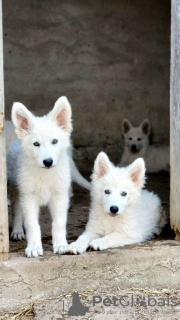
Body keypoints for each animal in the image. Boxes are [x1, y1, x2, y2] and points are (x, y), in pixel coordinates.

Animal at [7, 95, 91, 258]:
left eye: (55, 141)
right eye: (36, 144)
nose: (48, 162)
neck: (45, 174)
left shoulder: (59, 196)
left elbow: (58, 223)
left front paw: (60, 245)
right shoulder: (29, 196)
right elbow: (32, 224)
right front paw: (33, 247)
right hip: (16, 187)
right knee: (16, 208)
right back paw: (17, 230)